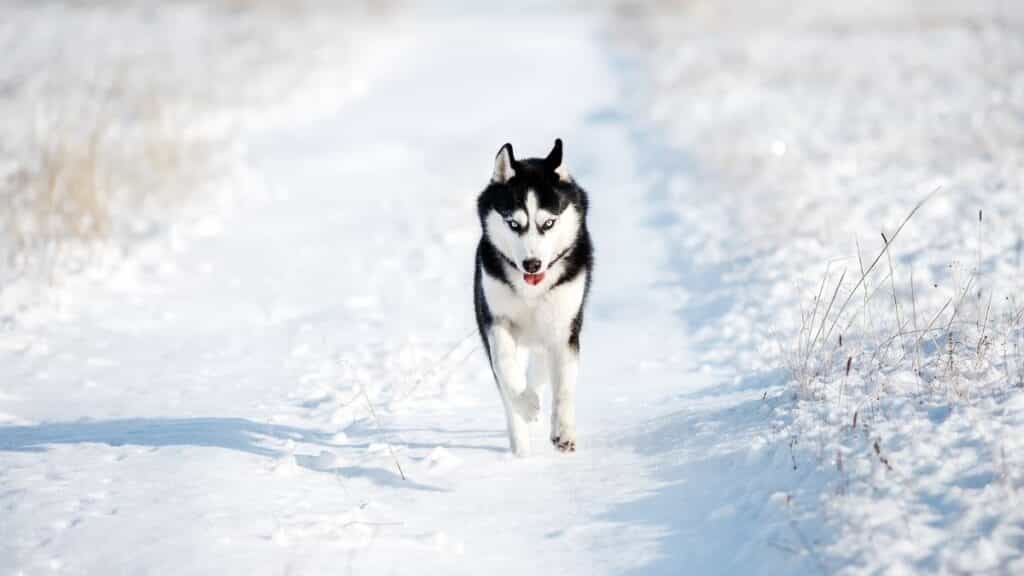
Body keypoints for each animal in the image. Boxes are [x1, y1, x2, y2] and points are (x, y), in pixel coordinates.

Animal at [471, 138, 593, 453]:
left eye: (548, 223)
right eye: (514, 224)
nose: (532, 264)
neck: (531, 292)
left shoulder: (564, 329)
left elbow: (564, 386)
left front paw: (563, 432)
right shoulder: (495, 319)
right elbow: (505, 366)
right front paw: (526, 406)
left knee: (539, 372)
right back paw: (521, 443)